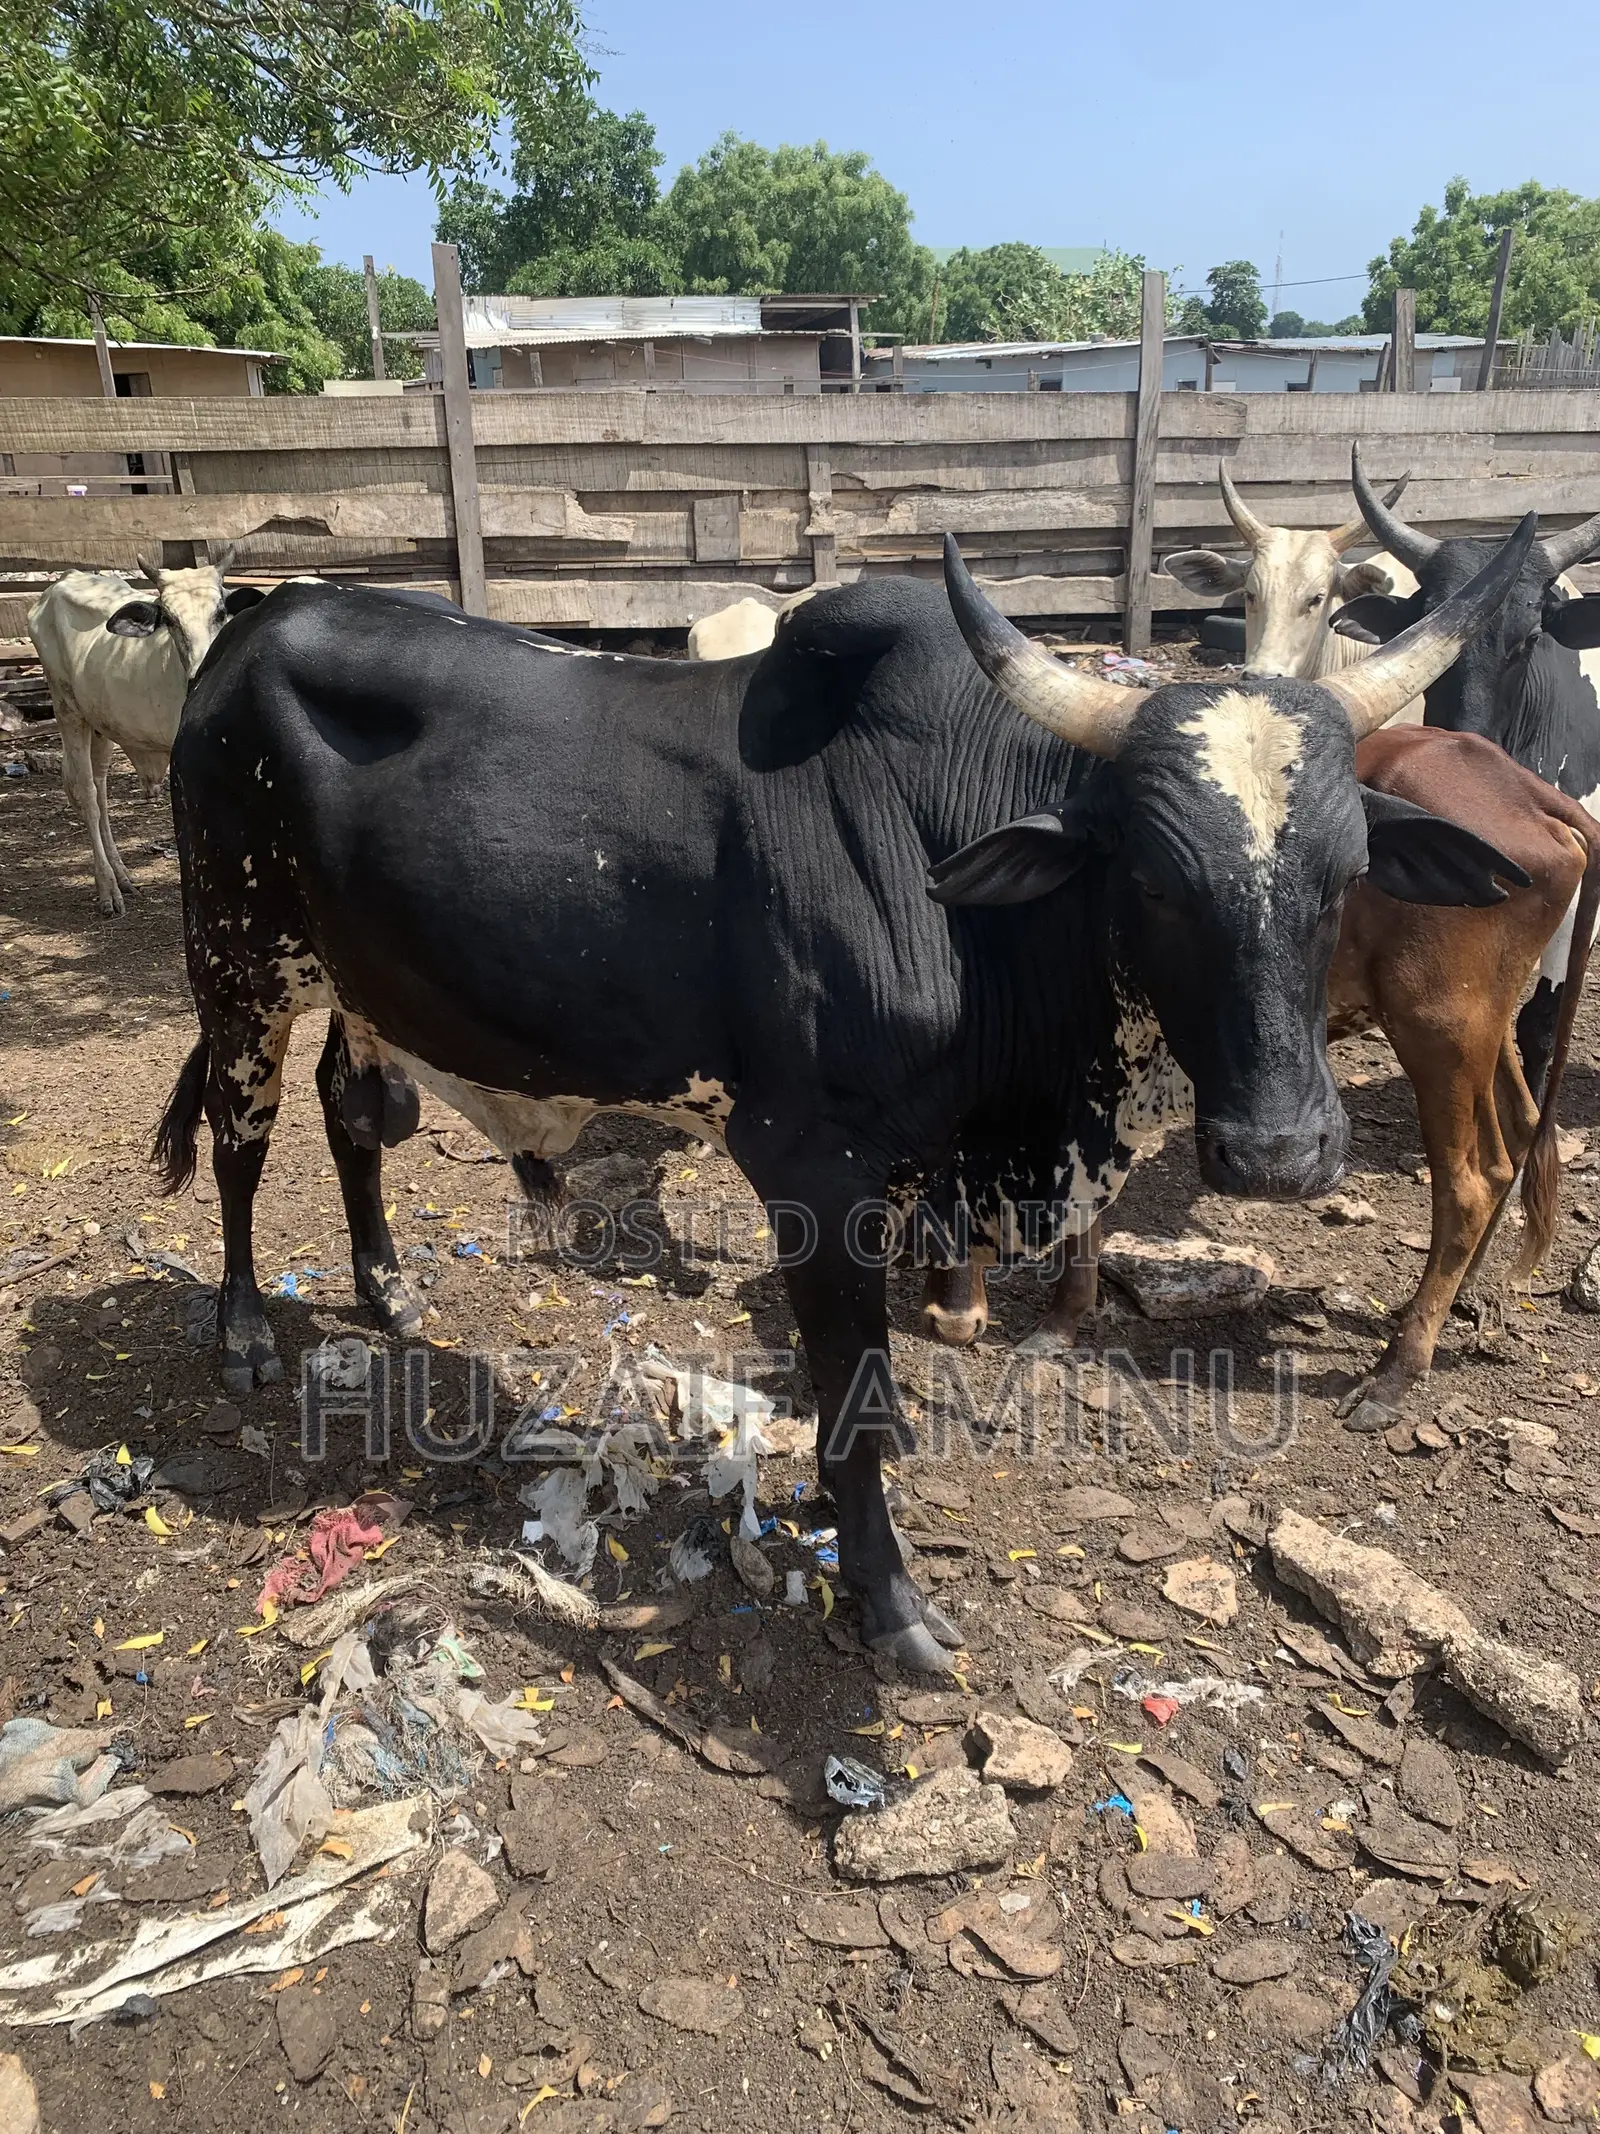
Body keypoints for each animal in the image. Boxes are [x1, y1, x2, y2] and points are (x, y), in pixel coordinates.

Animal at [27, 551, 264, 914]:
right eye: (169, 619)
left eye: (220, 612)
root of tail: (65, 579)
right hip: (67, 709)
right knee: (87, 793)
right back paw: (108, 888)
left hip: (101, 724)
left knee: (101, 789)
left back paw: (123, 875)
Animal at [151, 524, 1535, 1671]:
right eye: (1151, 879)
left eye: (1347, 873)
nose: (1279, 1150)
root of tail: (258, 620)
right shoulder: (811, 1171)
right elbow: (855, 1392)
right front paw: (889, 1598)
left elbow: (859, 1380)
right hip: (235, 958)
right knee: (240, 1135)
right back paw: (242, 1328)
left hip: (353, 981)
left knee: (347, 1110)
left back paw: (385, 1286)